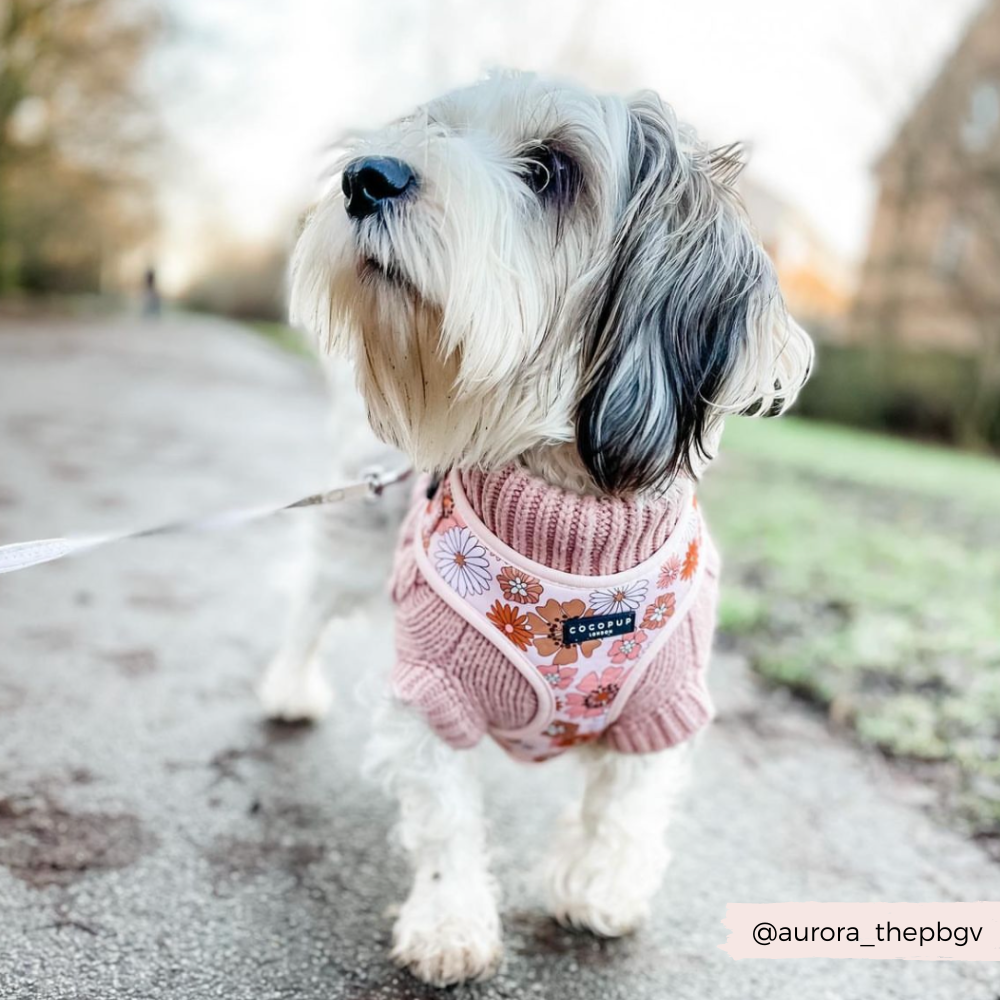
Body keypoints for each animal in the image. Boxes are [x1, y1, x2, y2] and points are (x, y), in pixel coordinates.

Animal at [258, 70, 812, 984]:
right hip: (350, 544)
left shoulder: (666, 704)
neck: (571, 531)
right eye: (436, 127)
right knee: (306, 606)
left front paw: (597, 889)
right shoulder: (430, 687)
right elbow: (446, 817)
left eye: (550, 170)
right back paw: (287, 691)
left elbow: (625, 809)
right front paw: (450, 921)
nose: (365, 175)